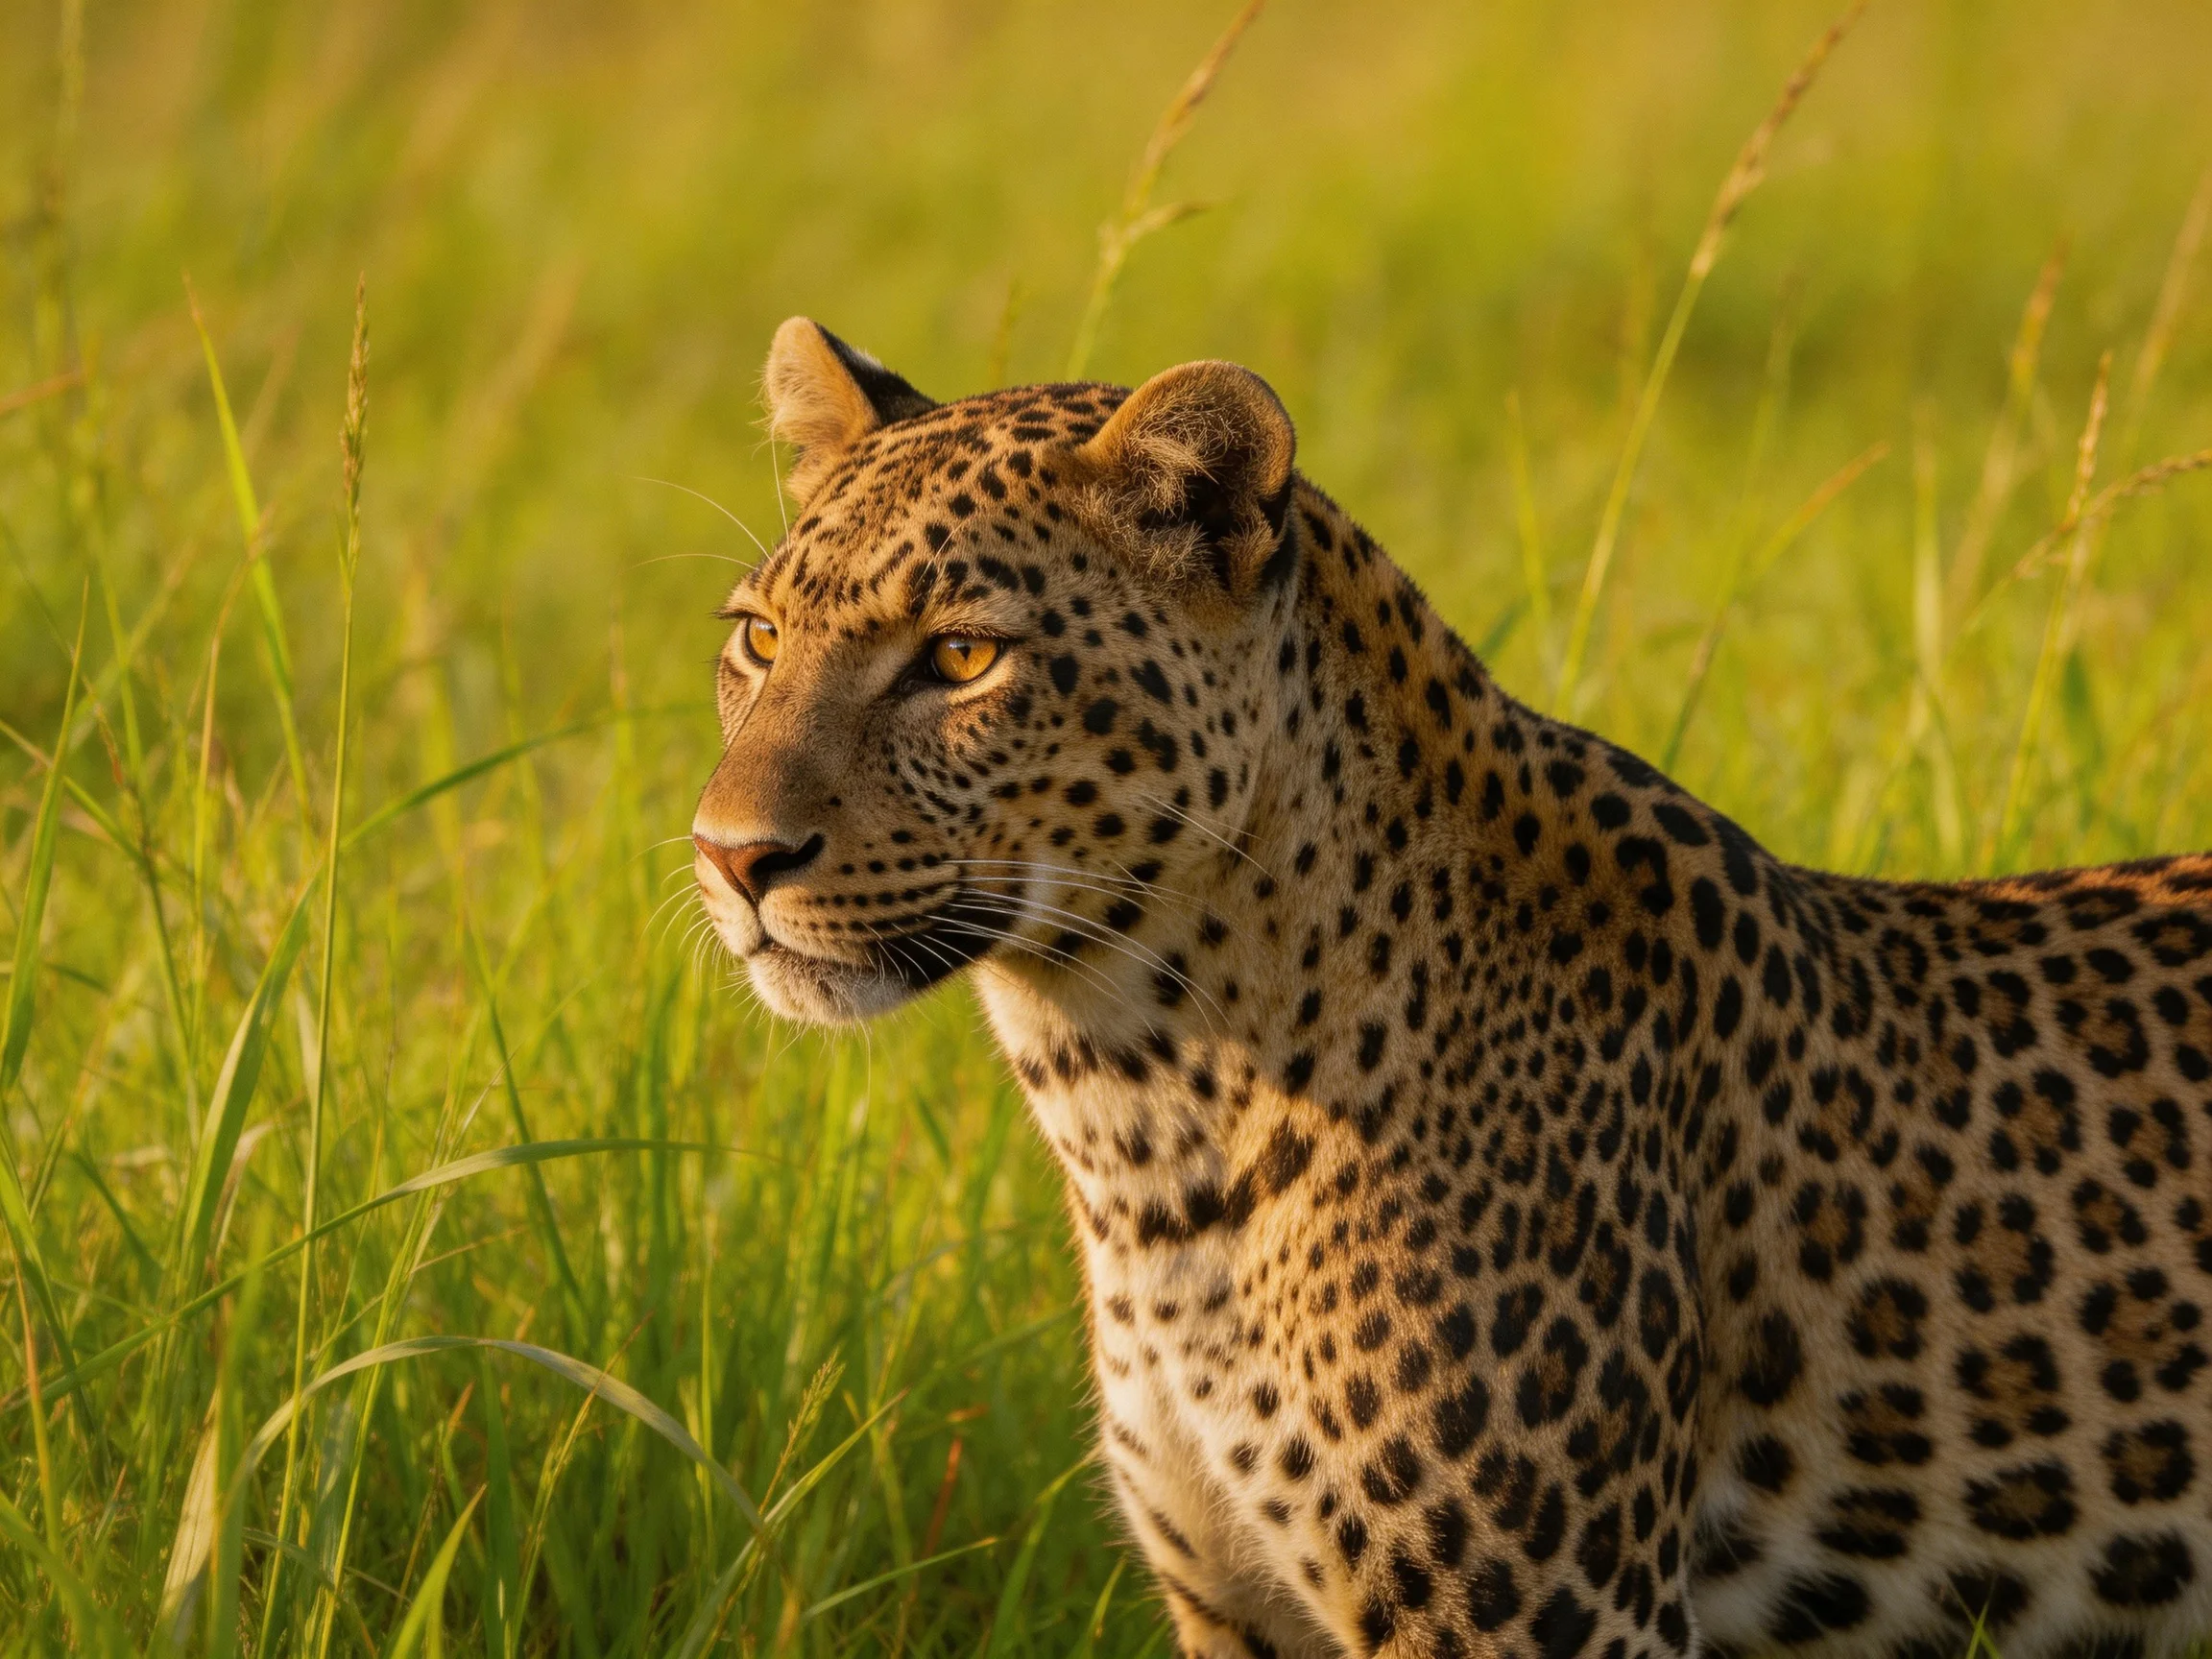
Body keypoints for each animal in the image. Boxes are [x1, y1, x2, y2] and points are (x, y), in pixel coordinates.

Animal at [691, 316, 2212, 1659]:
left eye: (961, 656)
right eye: (758, 638)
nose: (730, 855)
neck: (1141, 1107)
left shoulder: (1542, 1617)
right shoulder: (1236, 1609)